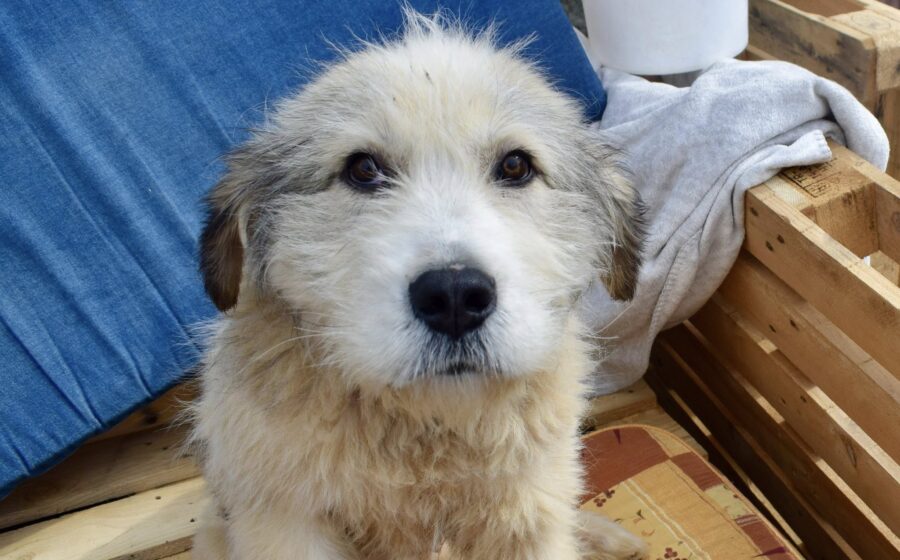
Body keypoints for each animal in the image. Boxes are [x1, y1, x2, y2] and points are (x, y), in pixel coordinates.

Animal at [190, 11, 646, 560]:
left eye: (516, 165)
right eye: (363, 168)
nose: (454, 298)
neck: (425, 430)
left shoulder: (527, 514)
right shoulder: (286, 523)